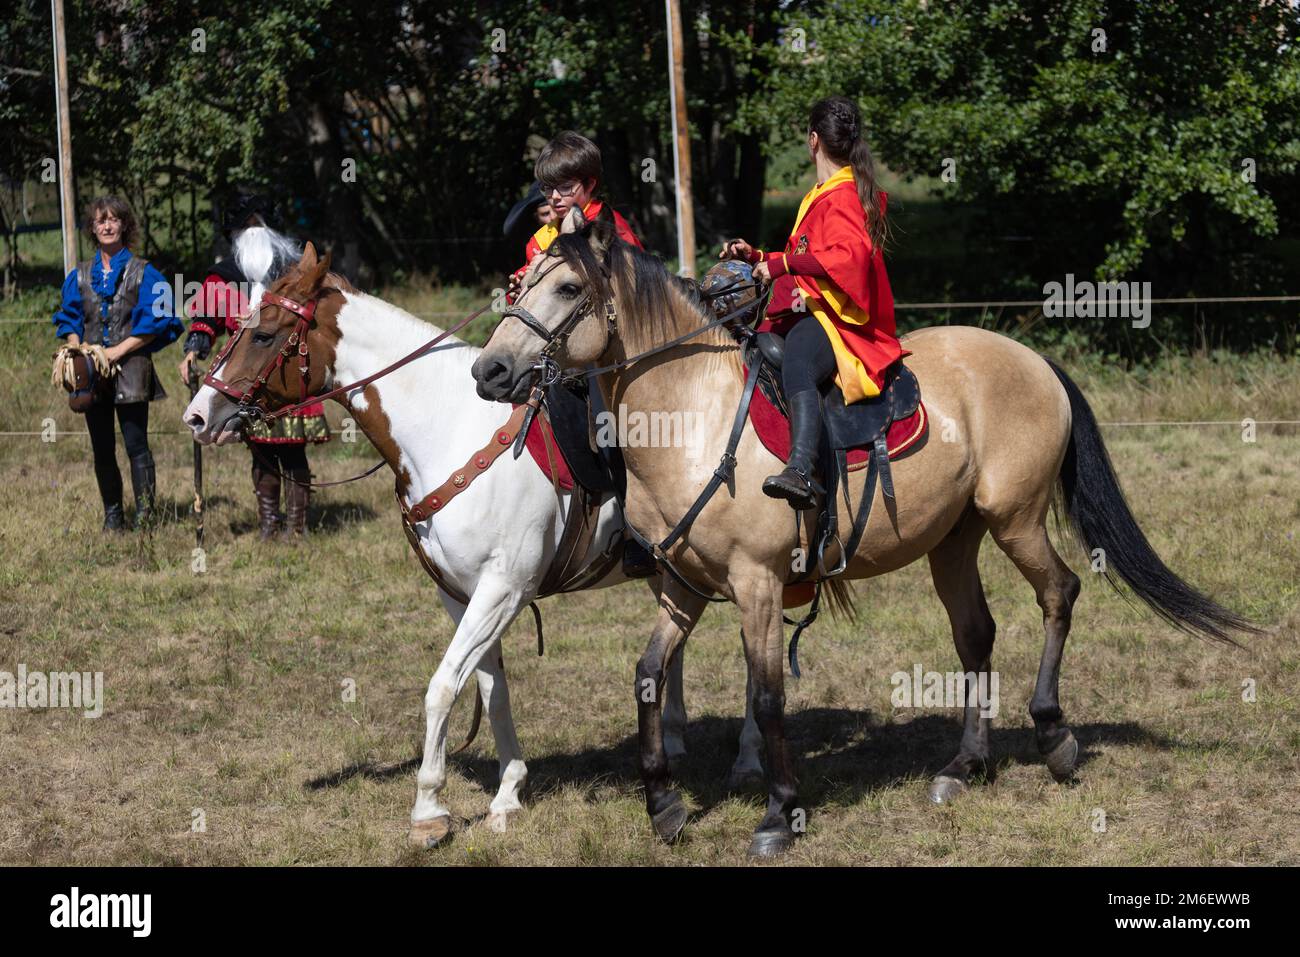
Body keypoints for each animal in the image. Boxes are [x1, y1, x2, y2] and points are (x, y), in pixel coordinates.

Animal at [183, 237, 759, 842]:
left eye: (264, 334)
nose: (197, 415)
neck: (448, 427)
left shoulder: (504, 589)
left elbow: (442, 686)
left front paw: (428, 810)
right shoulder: (460, 594)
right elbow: (489, 688)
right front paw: (508, 793)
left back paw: (748, 758)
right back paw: (673, 736)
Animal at [470, 209, 1258, 858]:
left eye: (567, 287)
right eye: (519, 283)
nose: (490, 370)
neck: (693, 416)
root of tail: (1032, 359)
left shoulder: (758, 585)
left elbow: (766, 698)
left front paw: (778, 813)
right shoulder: (682, 586)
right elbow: (646, 676)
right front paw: (663, 805)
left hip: (1016, 519)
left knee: (1058, 594)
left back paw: (1054, 736)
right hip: (955, 538)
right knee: (976, 633)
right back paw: (963, 765)